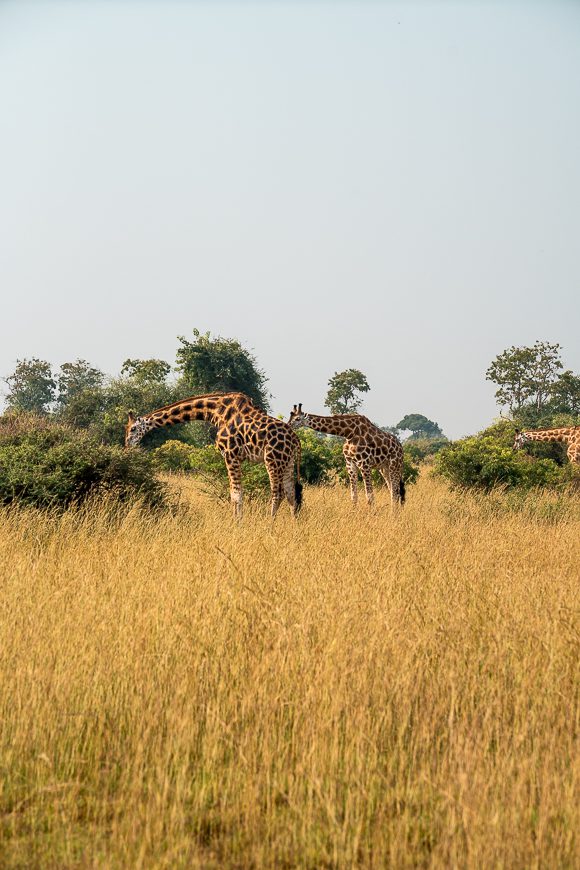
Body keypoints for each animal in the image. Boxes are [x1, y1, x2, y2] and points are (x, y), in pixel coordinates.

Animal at [125, 392, 303, 519]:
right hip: (288, 462)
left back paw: (269, 524)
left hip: (273, 459)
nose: (127, 446)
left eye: (133, 429)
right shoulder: (233, 457)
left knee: (278, 493)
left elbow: (235, 494)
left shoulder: (231, 454)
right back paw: (294, 525)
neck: (215, 412)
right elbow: (236, 493)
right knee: (291, 494)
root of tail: (296, 440)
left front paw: (237, 523)